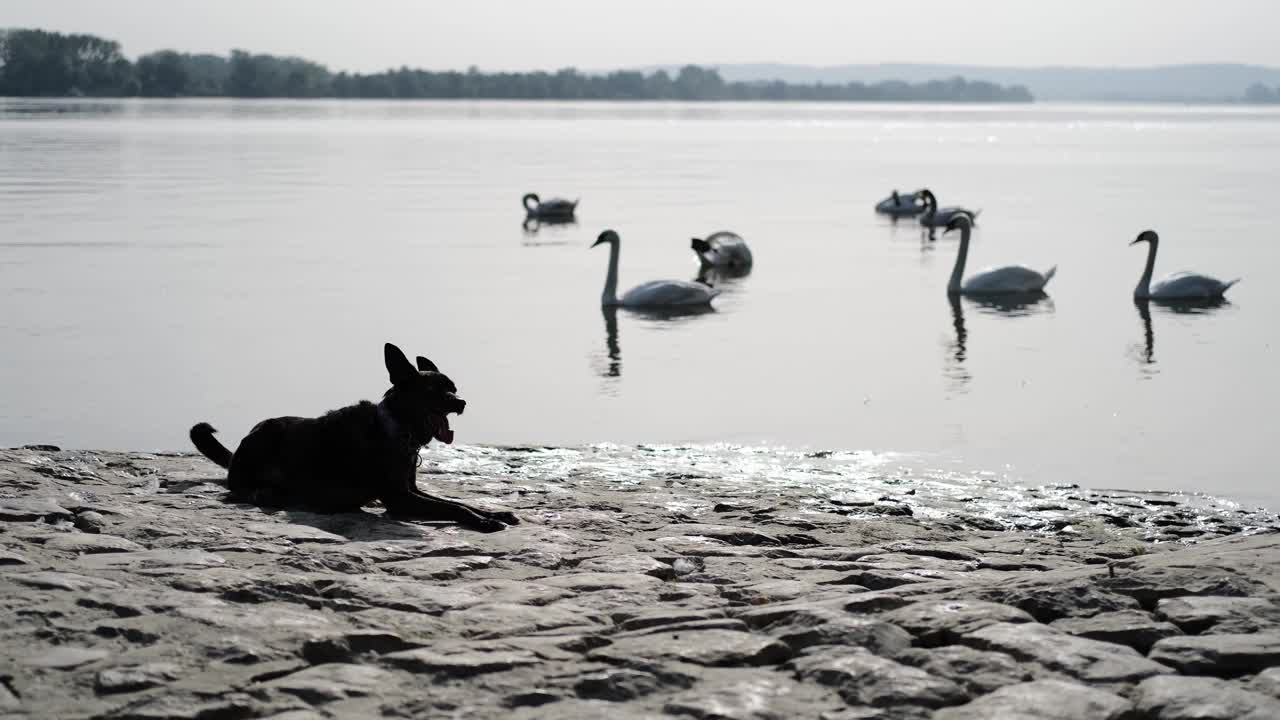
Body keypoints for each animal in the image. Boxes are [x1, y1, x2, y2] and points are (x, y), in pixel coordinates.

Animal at [188, 338, 514, 530]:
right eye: (434, 391)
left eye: (454, 388)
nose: (461, 402)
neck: (395, 428)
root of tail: (239, 450)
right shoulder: (401, 499)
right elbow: (454, 508)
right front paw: (483, 521)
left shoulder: (412, 490)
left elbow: (458, 502)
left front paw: (494, 513)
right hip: (267, 439)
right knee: (243, 489)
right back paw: (267, 492)